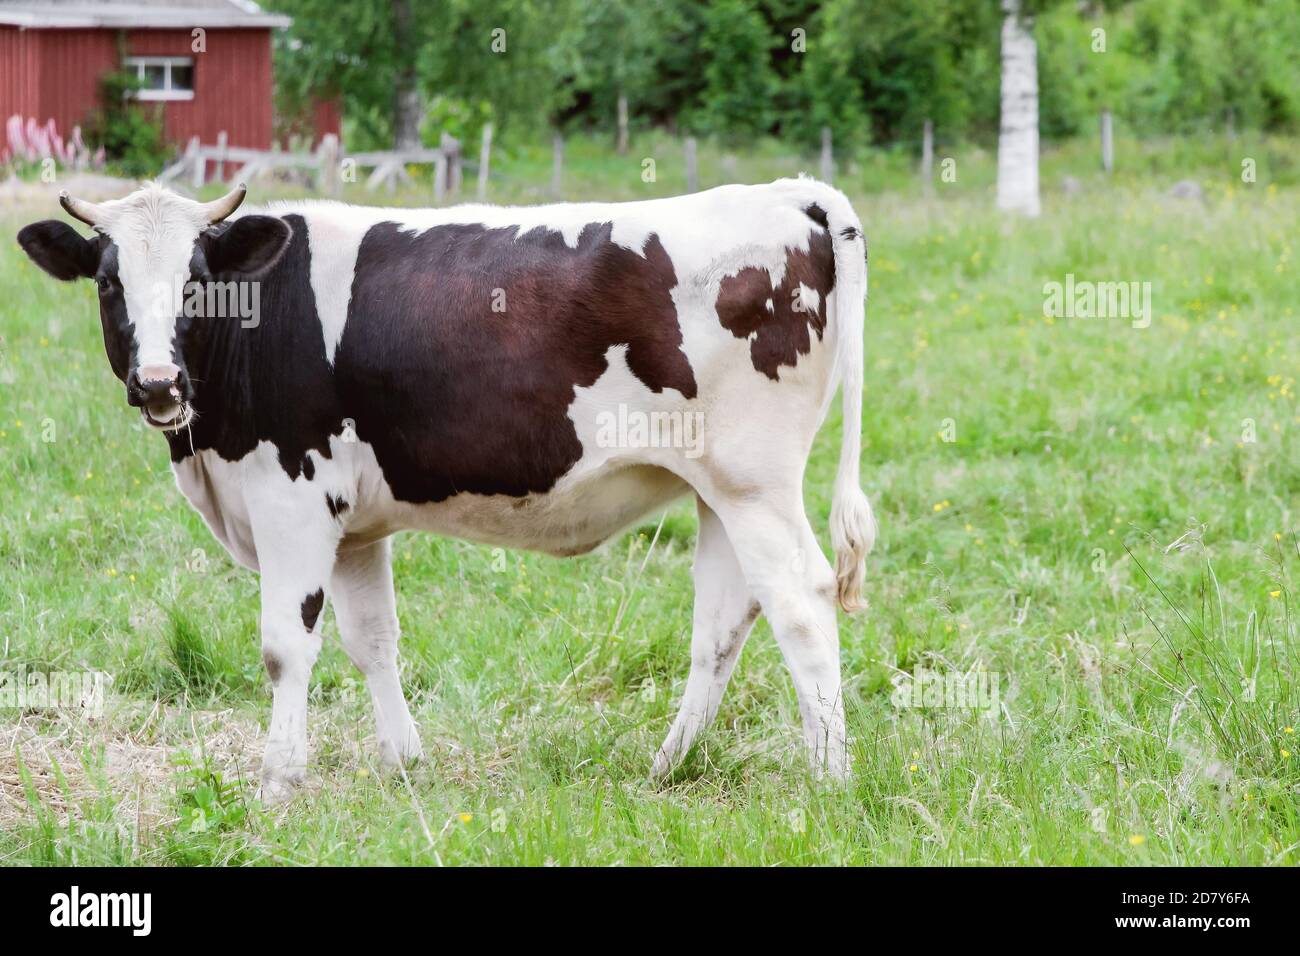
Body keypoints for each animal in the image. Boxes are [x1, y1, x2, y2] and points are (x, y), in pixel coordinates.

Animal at [17, 178, 876, 802]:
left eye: (197, 282)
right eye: (107, 282)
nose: (159, 383)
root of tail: (790, 192)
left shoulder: (292, 497)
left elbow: (286, 646)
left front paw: (277, 784)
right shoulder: (353, 524)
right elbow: (373, 640)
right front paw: (404, 765)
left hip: (755, 481)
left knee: (801, 602)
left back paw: (832, 782)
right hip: (718, 490)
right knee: (725, 622)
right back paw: (669, 767)